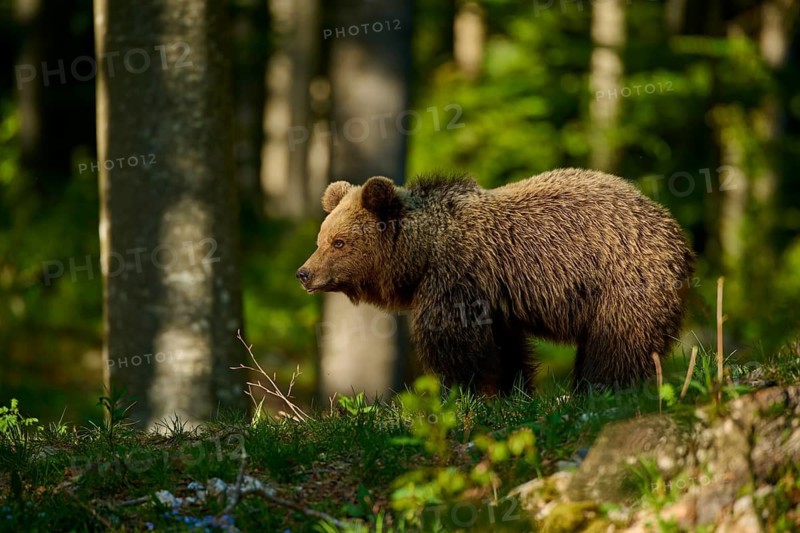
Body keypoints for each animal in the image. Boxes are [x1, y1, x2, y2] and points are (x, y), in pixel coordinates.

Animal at [296, 169, 695, 394]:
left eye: (339, 242)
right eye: (320, 238)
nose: (304, 273)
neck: (423, 254)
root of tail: (674, 228)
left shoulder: (457, 280)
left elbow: (459, 348)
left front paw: (468, 394)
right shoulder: (493, 299)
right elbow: (504, 350)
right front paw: (511, 391)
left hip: (623, 279)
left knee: (618, 342)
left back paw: (603, 388)